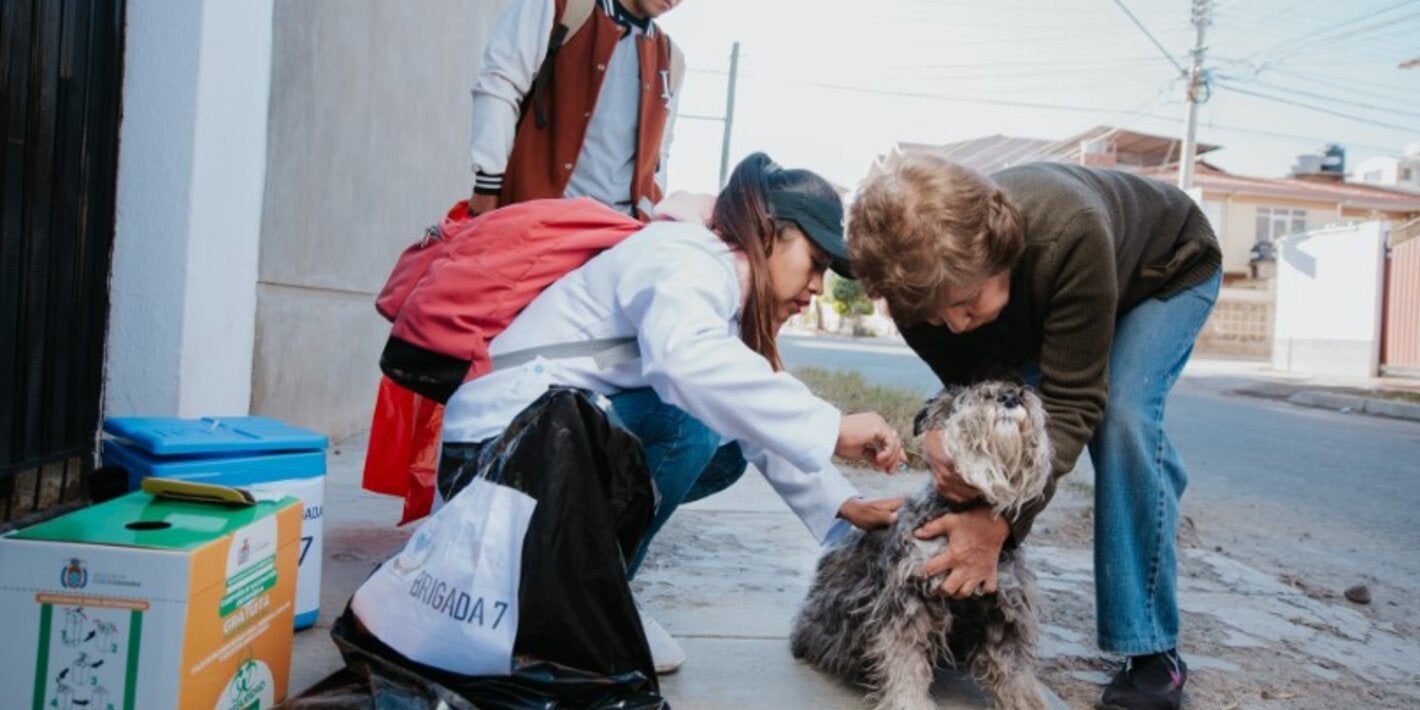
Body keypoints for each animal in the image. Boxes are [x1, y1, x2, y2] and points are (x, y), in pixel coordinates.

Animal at [789, 383, 1056, 710]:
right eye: (966, 397)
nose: (1010, 396)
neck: (962, 511)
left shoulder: (1005, 609)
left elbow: (1015, 673)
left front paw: (1026, 703)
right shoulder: (911, 601)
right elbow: (906, 662)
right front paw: (909, 702)